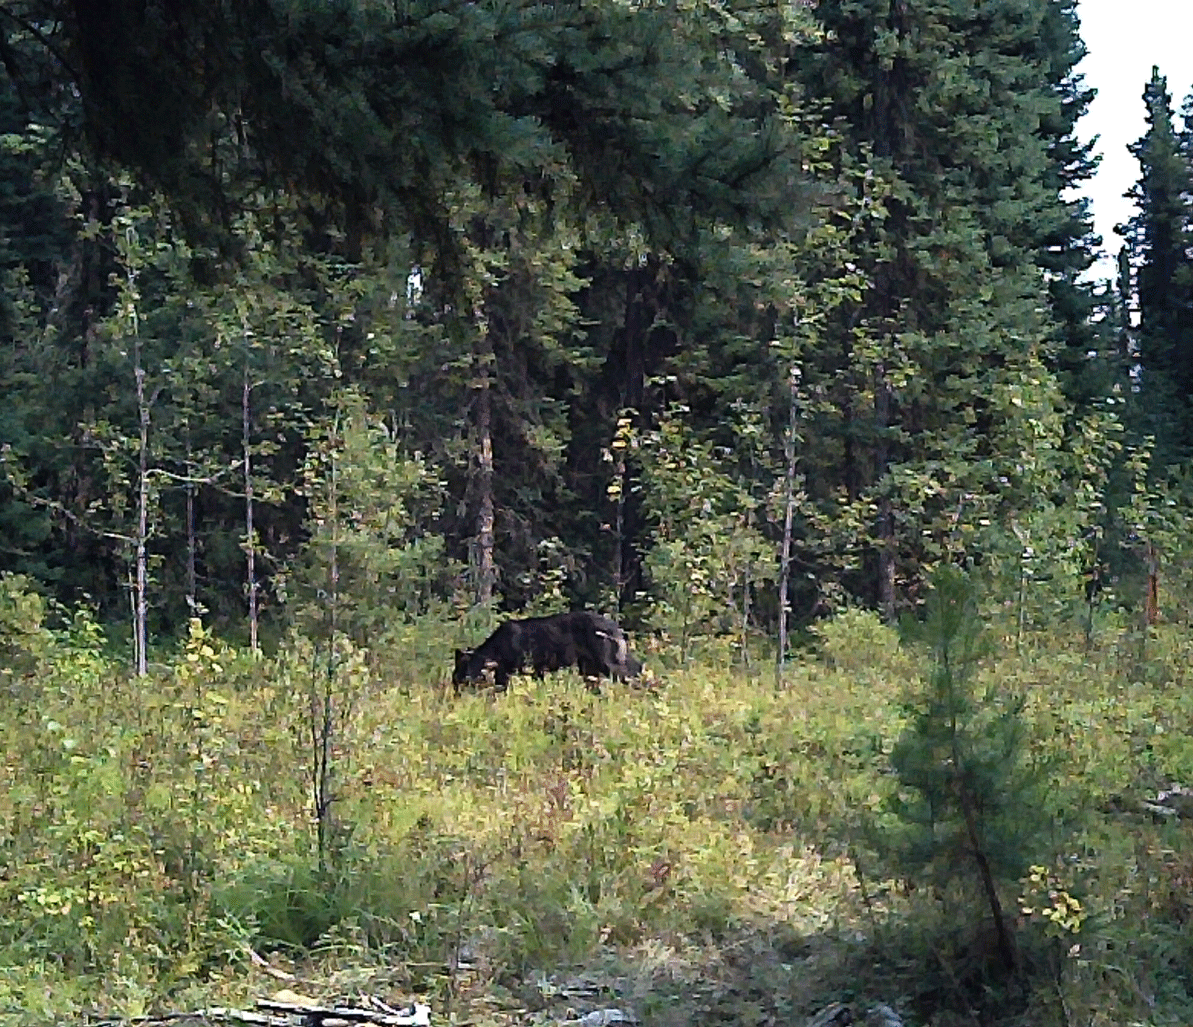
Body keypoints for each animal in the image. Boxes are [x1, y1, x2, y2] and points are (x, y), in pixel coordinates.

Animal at [453, 608, 644, 687]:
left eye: (463, 669)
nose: (455, 685)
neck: (495, 649)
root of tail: (616, 628)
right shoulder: (536, 669)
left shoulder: (514, 667)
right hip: (589, 665)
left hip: (605, 659)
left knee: (631, 671)